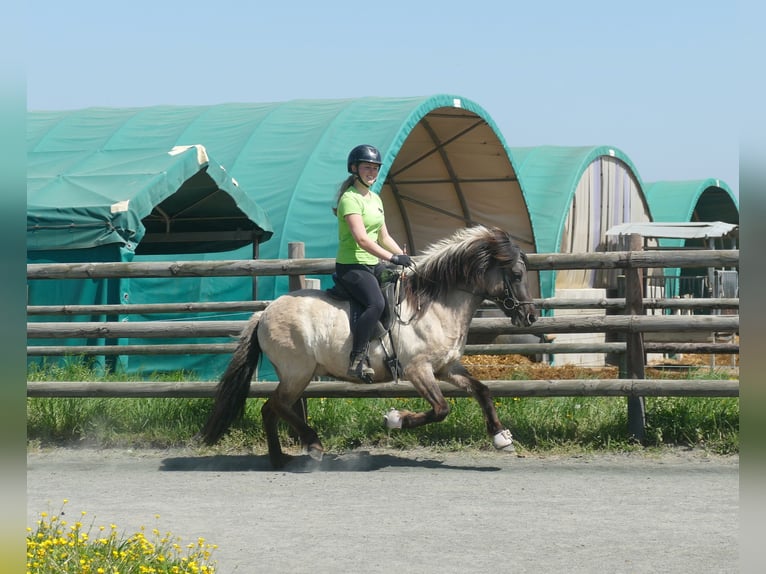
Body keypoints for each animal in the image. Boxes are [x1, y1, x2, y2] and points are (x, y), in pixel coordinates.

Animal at [199, 225, 537, 468]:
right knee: (276, 405)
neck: (433, 304)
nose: (530, 316)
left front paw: (501, 438)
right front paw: (395, 420)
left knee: (270, 409)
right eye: (517, 274)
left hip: (296, 375)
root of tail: (264, 312)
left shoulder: (446, 367)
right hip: (297, 373)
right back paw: (312, 445)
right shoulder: (418, 370)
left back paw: (280, 458)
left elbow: (482, 391)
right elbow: (441, 409)